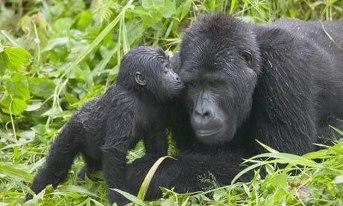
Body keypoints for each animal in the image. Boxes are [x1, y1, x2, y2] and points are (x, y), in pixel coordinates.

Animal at [27, 45, 184, 205]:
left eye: (170, 66)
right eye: (165, 69)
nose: (177, 77)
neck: (139, 93)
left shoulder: (159, 105)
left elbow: (156, 149)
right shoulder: (123, 104)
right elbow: (114, 151)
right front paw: (119, 197)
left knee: (92, 166)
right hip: (73, 130)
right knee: (56, 168)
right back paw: (33, 196)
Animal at [126, 13, 343, 200]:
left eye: (216, 84)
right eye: (194, 85)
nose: (202, 112)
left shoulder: (285, 62)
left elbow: (279, 161)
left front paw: (146, 173)